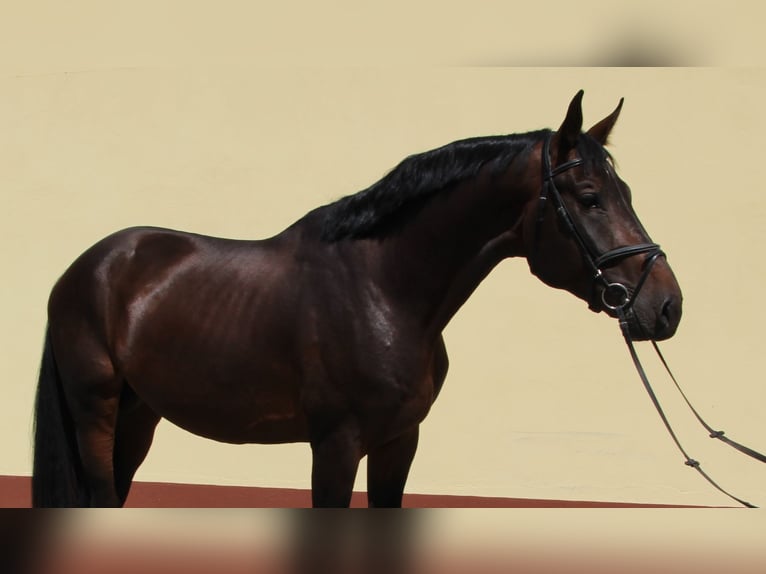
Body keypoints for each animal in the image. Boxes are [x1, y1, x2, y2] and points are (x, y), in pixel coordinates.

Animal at [34, 90, 684, 508]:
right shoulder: (336, 445)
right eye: (589, 197)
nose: (667, 307)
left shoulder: (399, 442)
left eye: (625, 191)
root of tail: (88, 267)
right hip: (96, 411)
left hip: (139, 415)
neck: (385, 291)